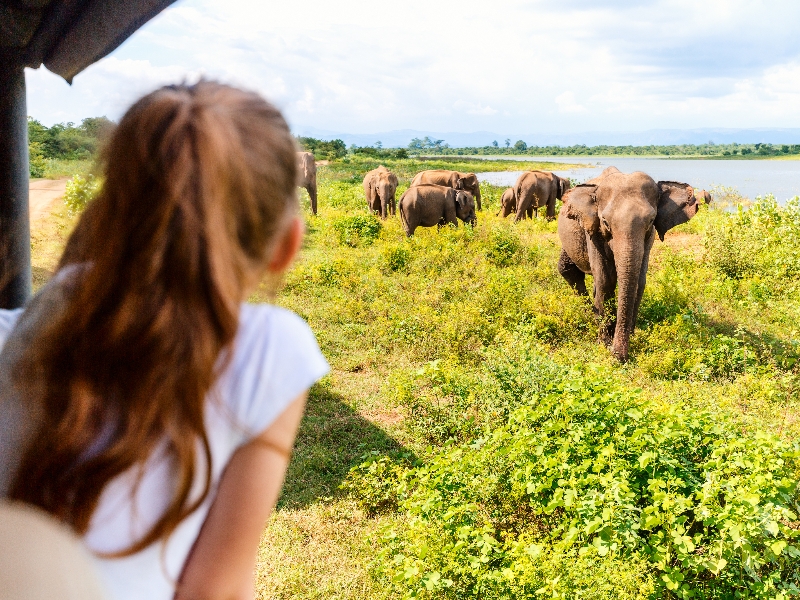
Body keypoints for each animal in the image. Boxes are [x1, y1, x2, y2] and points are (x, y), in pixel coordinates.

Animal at [556, 164, 700, 360]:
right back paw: (590, 315)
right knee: (568, 270)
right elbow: (606, 281)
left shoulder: (649, 238)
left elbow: (639, 280)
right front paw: (604, 343)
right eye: (605, 222)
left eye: (650, 221)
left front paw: (628, 338)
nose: (619, 357)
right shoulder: (593, 232)